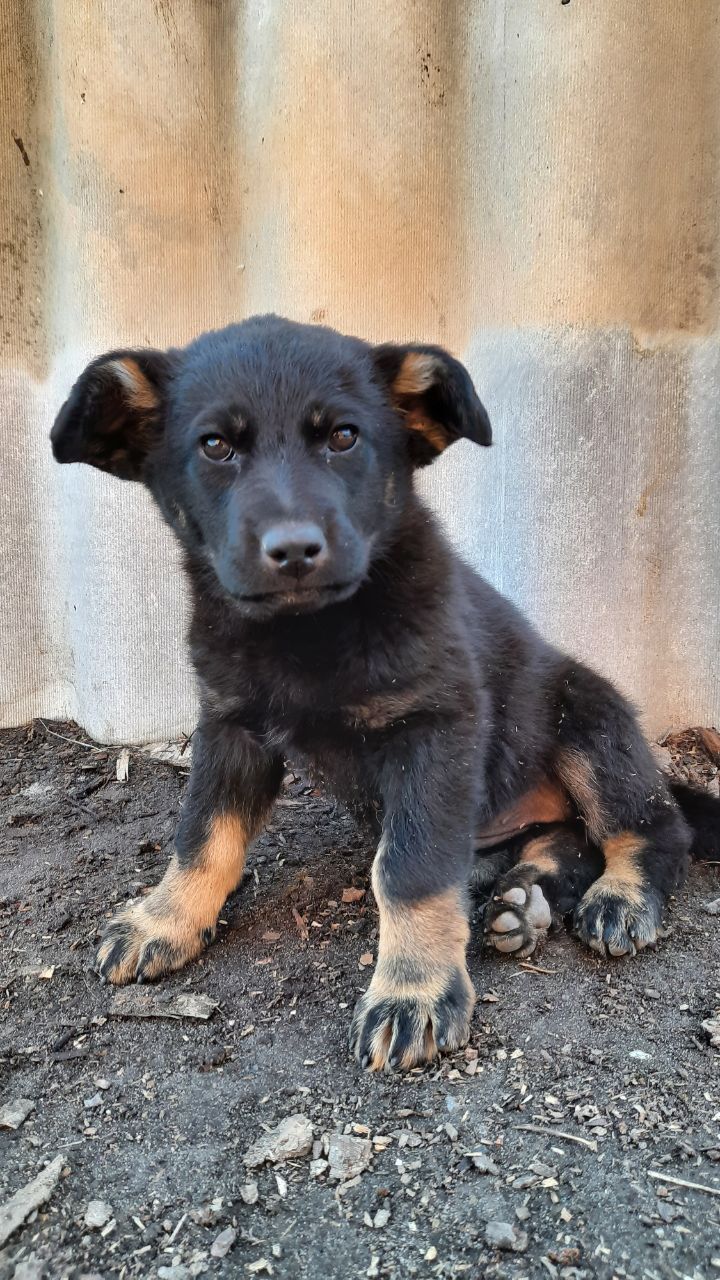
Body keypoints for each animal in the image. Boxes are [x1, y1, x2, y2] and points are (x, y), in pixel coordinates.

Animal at [51, 317, 717, 1070]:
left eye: (344, 437)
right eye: (215, 445)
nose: (294, 551)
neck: (310, 632)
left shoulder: (433, 730)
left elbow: (410, 869)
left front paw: (413, 990)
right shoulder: (229, 725)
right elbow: (203, 833)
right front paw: (163, 918)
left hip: (587, 717)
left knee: (651, 825)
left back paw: (621, 896)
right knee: (567, 838)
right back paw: (525, 899)